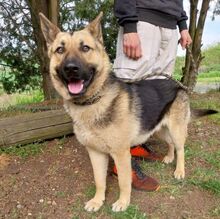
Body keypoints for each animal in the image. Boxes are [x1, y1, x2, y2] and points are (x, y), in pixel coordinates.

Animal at [39, 12, 217, 212]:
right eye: (60, 50)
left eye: (85, 48)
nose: (71, 68)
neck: (93, 102)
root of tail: (178, 84)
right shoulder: (95, 153)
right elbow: (99, 181)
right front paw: (97, 201)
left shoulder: (121, 153)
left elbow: (124, 182)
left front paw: (123, 202)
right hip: (159, 129)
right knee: (171, 144)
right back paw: (169, 157)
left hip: (176, 130)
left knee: (181, 149)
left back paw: (179, 170)